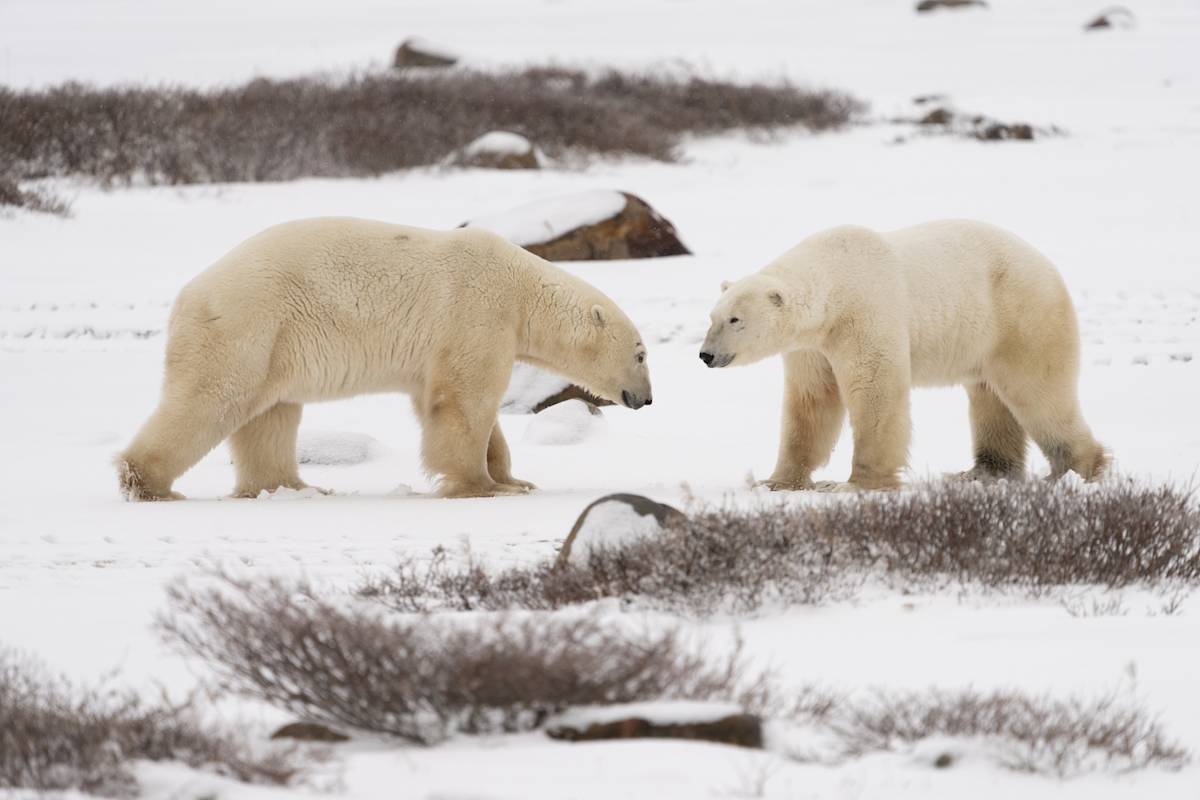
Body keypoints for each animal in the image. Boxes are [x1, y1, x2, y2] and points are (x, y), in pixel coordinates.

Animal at [116, 217, 652, 501]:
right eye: (642, 353)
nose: (646, 399)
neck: (519, 286)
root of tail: (188, 296)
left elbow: (446, 401)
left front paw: (514, 477)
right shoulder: (476, 312)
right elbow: (464, 402)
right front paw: (485, 485)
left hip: (275, 344)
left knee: (270, 417)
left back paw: (296, 487)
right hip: (247, 325)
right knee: (211, 401)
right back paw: (147, 482)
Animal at [699, 219, 1107, 491]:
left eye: (735, 320)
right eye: (712, 316)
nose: (706, 355)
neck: (834, 285)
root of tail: (1046, 264)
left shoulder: (865, 314)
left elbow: (876, 392)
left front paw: (858, 484)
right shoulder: (812, 347)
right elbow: (811, 403)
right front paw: (776, 481)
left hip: (1019, 315)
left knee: (1038, 392)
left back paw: (1075, 471)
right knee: (990, 398)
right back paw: (981, 472)